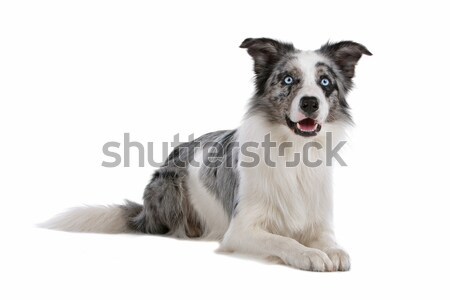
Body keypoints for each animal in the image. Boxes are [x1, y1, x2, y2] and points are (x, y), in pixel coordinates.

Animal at [44, 38, 370, 272]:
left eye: (325, 82)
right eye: (288, 80)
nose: (310, 103)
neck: (294, 152)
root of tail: (143, 212)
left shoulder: (319, 220)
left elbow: (329, 241)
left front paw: (333, 251)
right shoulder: (241, 230)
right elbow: (284, 240)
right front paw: (309, 255)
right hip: (171, 185)